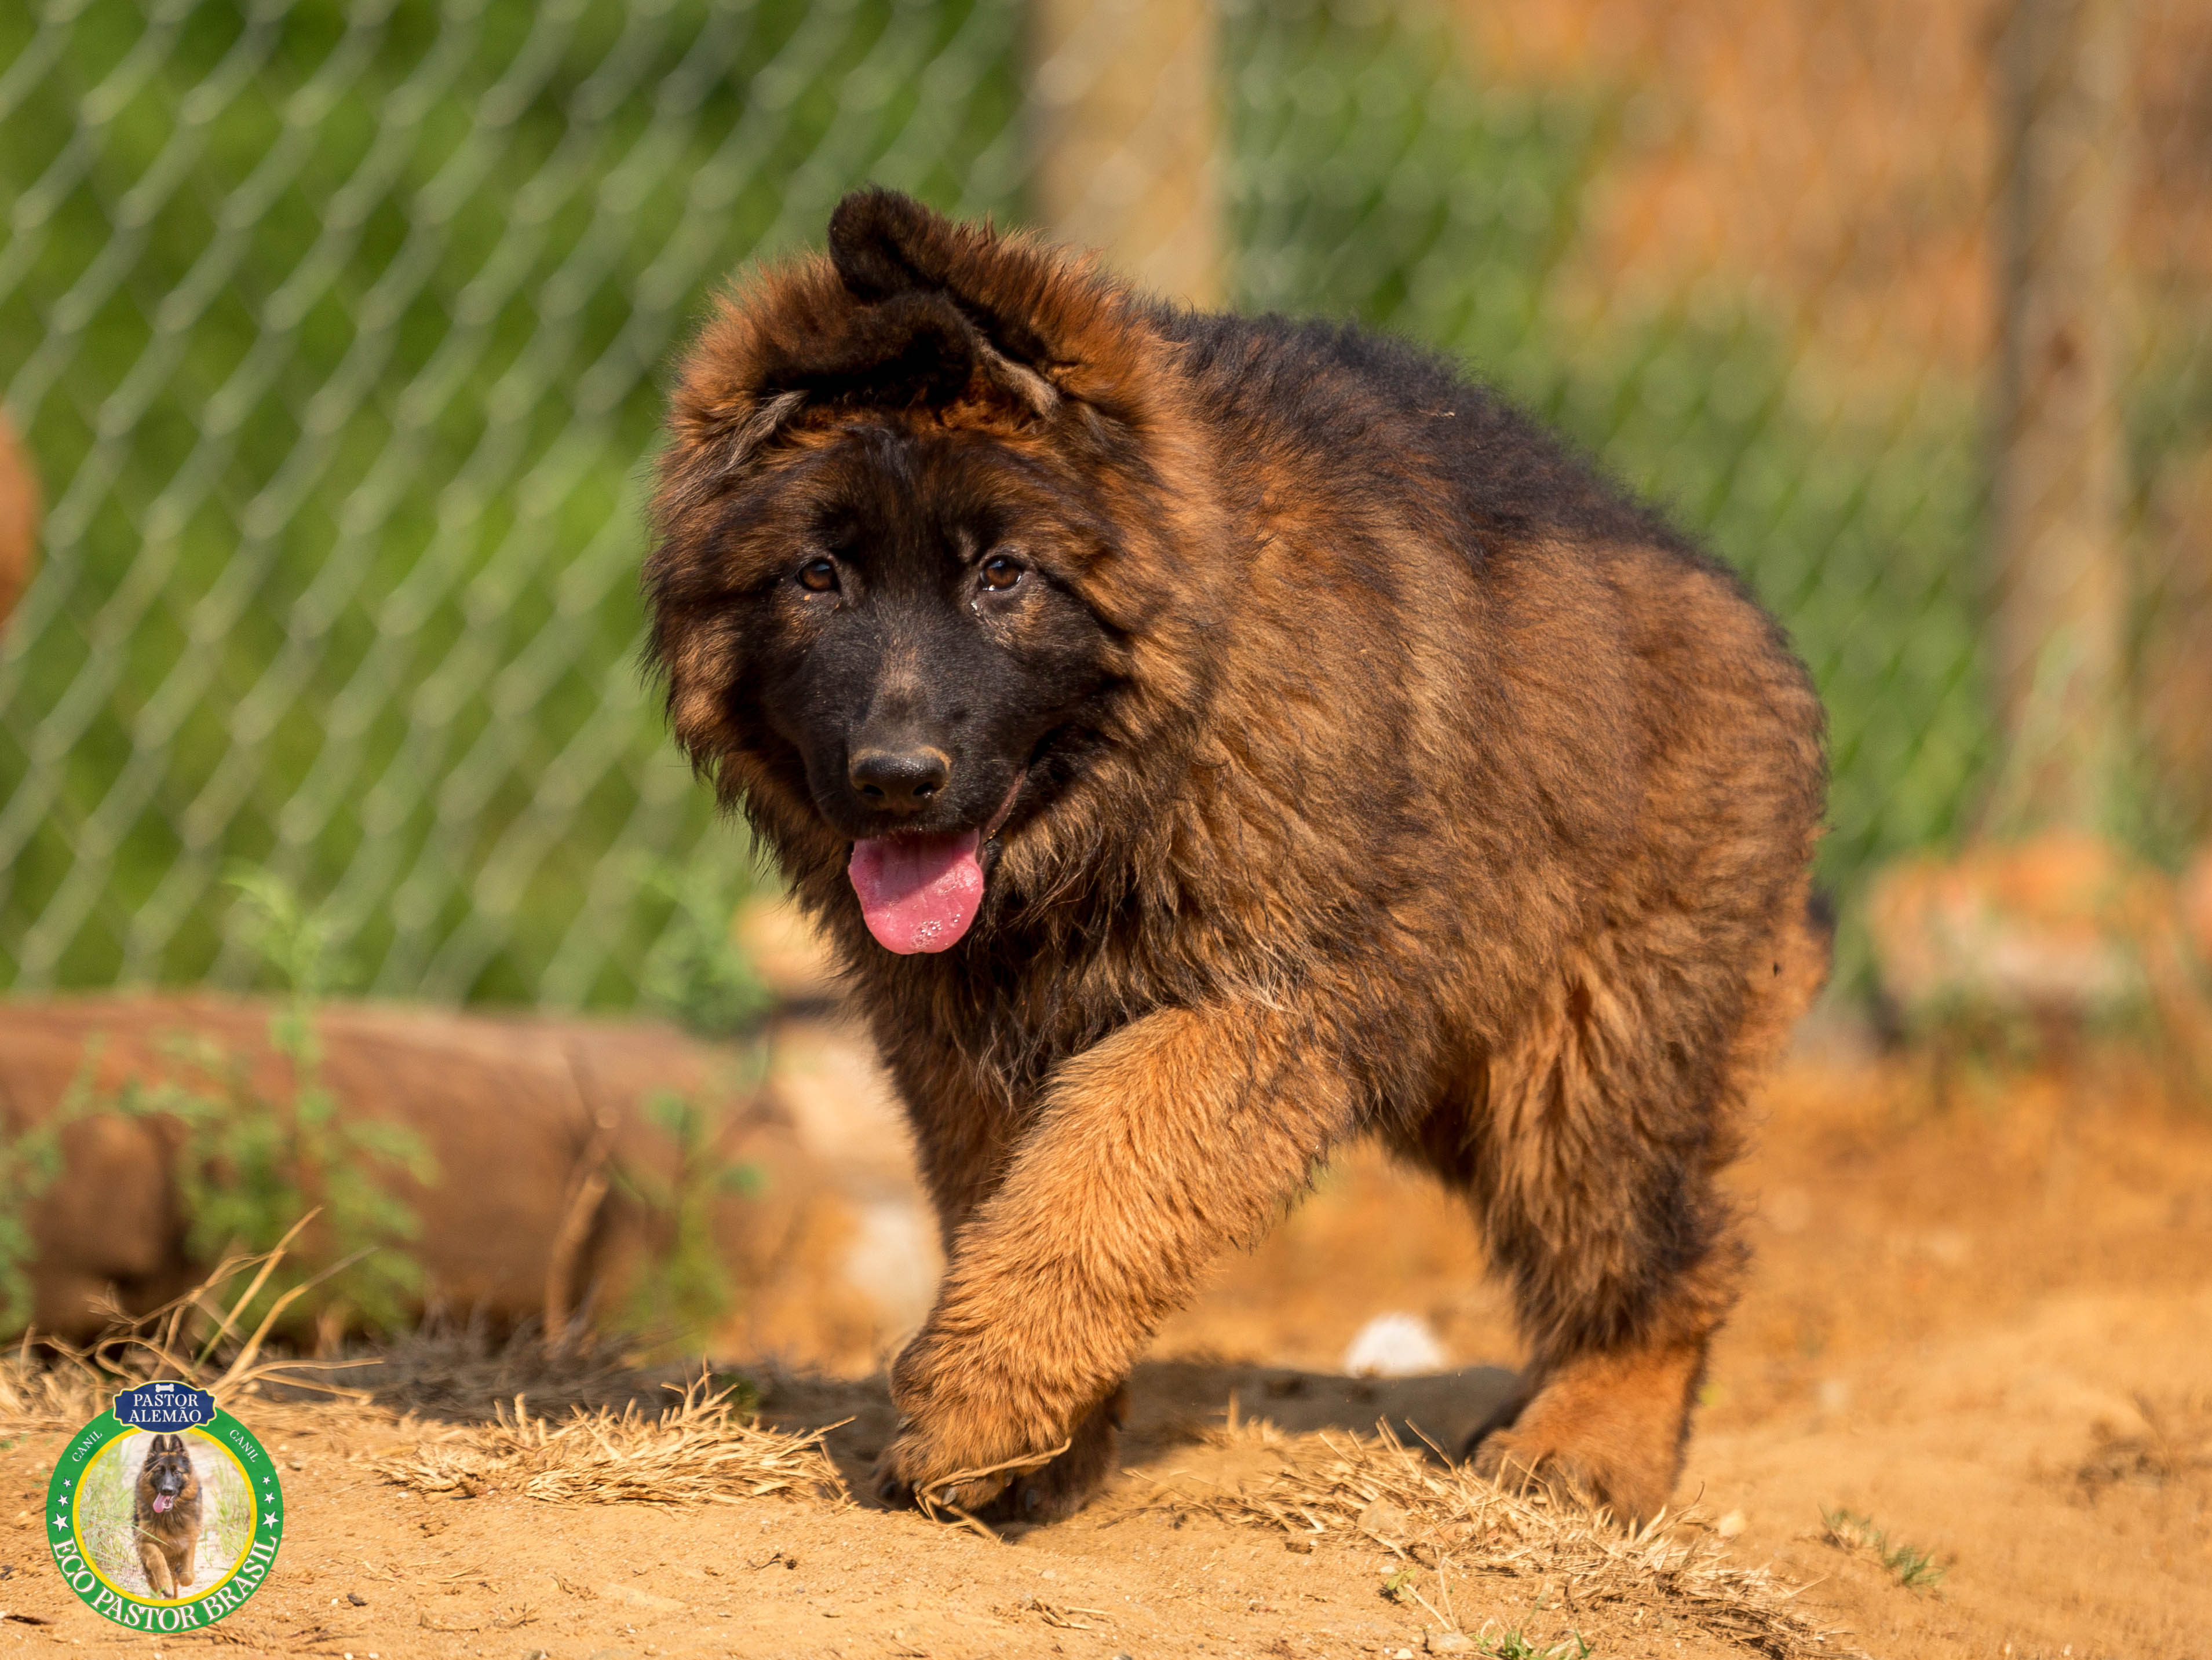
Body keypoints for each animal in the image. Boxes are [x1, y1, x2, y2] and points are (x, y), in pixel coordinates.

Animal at [132, 1432, 203, 1600]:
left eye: (177, 1472)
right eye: (159, 1471)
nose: (167, 1490)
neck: (169, 1516)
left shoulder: (189, 1539)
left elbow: (188, 1576)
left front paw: (182, 1574)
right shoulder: (145, 1542)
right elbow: (158, 1559)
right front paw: (166, 1585)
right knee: (155, 1585)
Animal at [645, 188, 1831, 1529]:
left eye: (1001, 573)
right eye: (817, 574)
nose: (896, 780)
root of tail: (1749, 630)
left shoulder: (1258, 1005)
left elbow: (1099, 1183)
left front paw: (974, 1410)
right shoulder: (957, 1031)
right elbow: (1011, 1201)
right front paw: (1043, 1434)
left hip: (1589, 1051)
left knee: (1663, 1248)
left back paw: (1593, 1437)